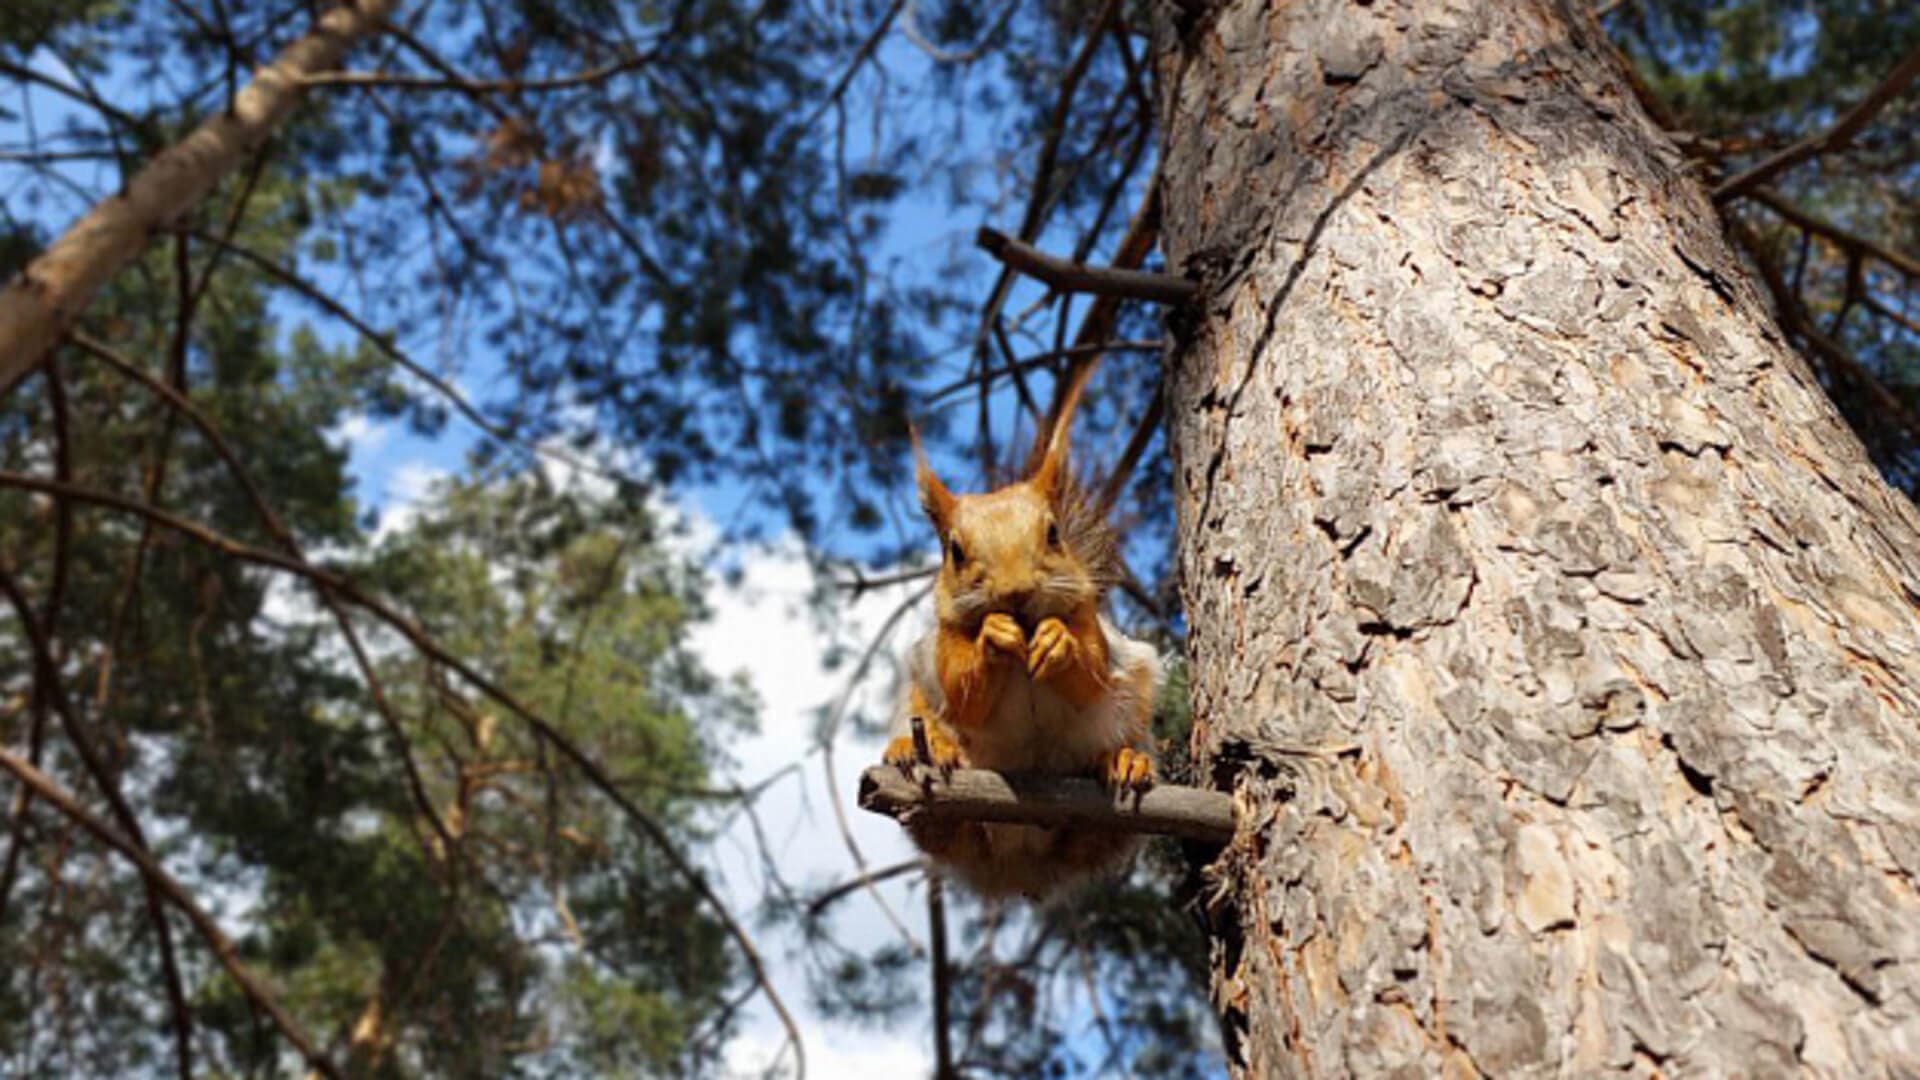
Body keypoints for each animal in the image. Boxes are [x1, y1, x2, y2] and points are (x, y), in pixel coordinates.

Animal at [879, 357, 1159, 895]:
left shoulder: (1089, 623)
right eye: (954, 551)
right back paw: (921, 750)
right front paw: (994, 638)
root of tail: (1017, 865)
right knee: (942, 821)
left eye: (1053, 534)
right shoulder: (944, 644)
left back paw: (1123, 760)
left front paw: (1057, 644)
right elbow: (963, 691)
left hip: (1132, 699)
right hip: (920, 708)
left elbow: (1090, 674)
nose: (1015, 592)